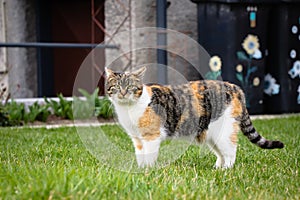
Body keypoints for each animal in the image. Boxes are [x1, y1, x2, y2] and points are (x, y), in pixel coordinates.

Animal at [105, 67, 284, 169]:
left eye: (130, 86)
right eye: (116, 86)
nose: (123, 93)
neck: (128, 109)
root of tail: (234, 87)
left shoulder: (151, 137)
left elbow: (149, 155)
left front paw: (148, 171)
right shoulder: (137, 139)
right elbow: (140, 155)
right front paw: (140, 169)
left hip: (224, 132)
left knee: (231, 150)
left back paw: (227, 170)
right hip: (211, 135)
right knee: (221, 153)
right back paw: (217, 168)